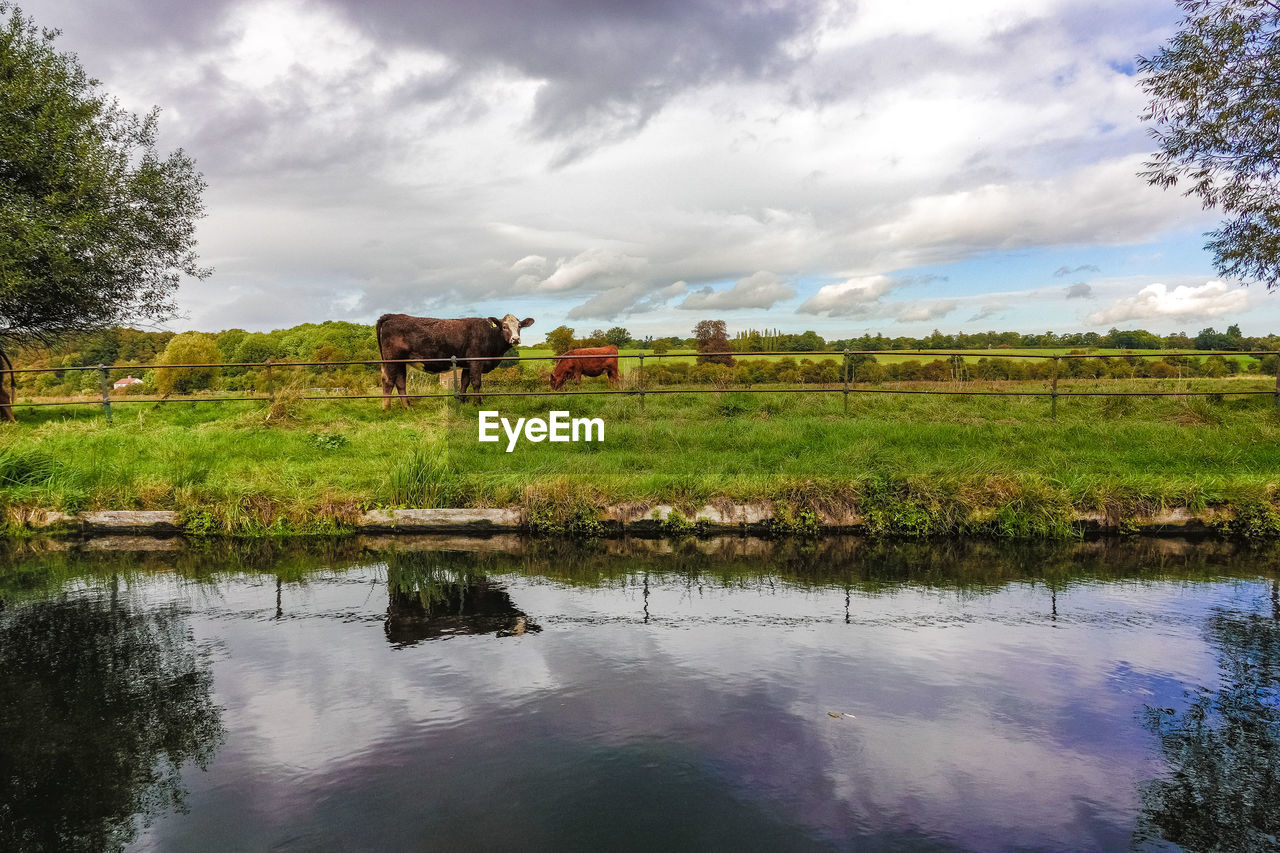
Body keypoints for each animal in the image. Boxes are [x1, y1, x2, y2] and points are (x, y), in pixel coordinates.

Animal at [373, 311, 532, 407]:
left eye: (519, 326)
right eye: (504, 326)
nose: (515, 339)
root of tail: (392, 316)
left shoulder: (467, 364)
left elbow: (465, 382)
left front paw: (462, 401)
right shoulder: (476, 361)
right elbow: (476, 382)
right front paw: (477, 403)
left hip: (400, 362)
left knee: (400, 382)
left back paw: (407, 406)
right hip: (391, 360)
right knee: (388, 381)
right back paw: (386, 408)